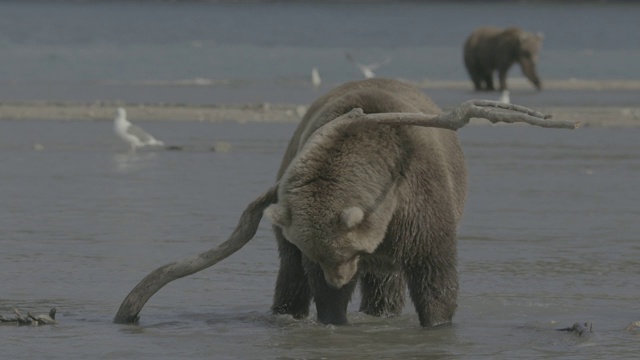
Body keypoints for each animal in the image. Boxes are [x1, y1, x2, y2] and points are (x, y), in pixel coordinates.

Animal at [262, 80, 468, 328]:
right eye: (318, 256)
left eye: (345, 253)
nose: (337, 281)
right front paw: (333, 315)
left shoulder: (419, 196)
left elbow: (431, 265)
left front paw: (437, 320)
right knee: (292, 268)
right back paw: (287, 310)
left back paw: (382, 310)